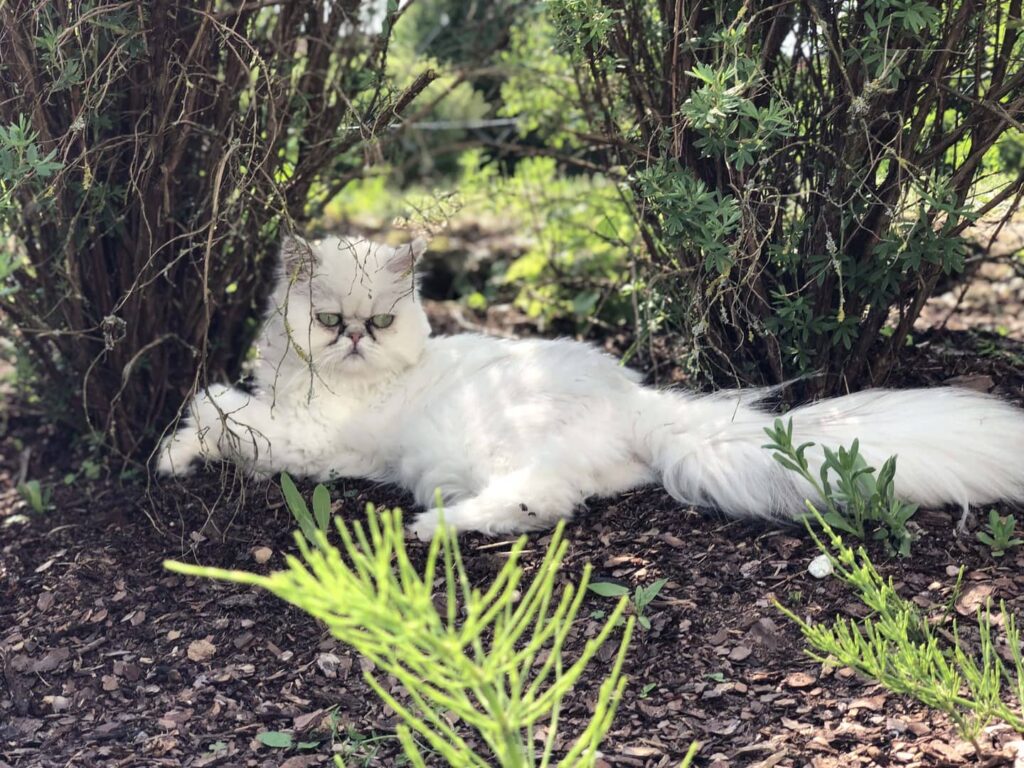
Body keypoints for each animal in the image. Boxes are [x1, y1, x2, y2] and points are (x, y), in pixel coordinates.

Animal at [155, 237, 1024, 536]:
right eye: (331, 319)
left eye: (378, 321)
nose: (356, 340)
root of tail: (640, 400)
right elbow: (210, 416)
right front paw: (173, 458)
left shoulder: (301, 437)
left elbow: (215, 408)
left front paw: (177, 449)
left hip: (486, 445)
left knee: (542, 503)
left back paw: (428, 530)